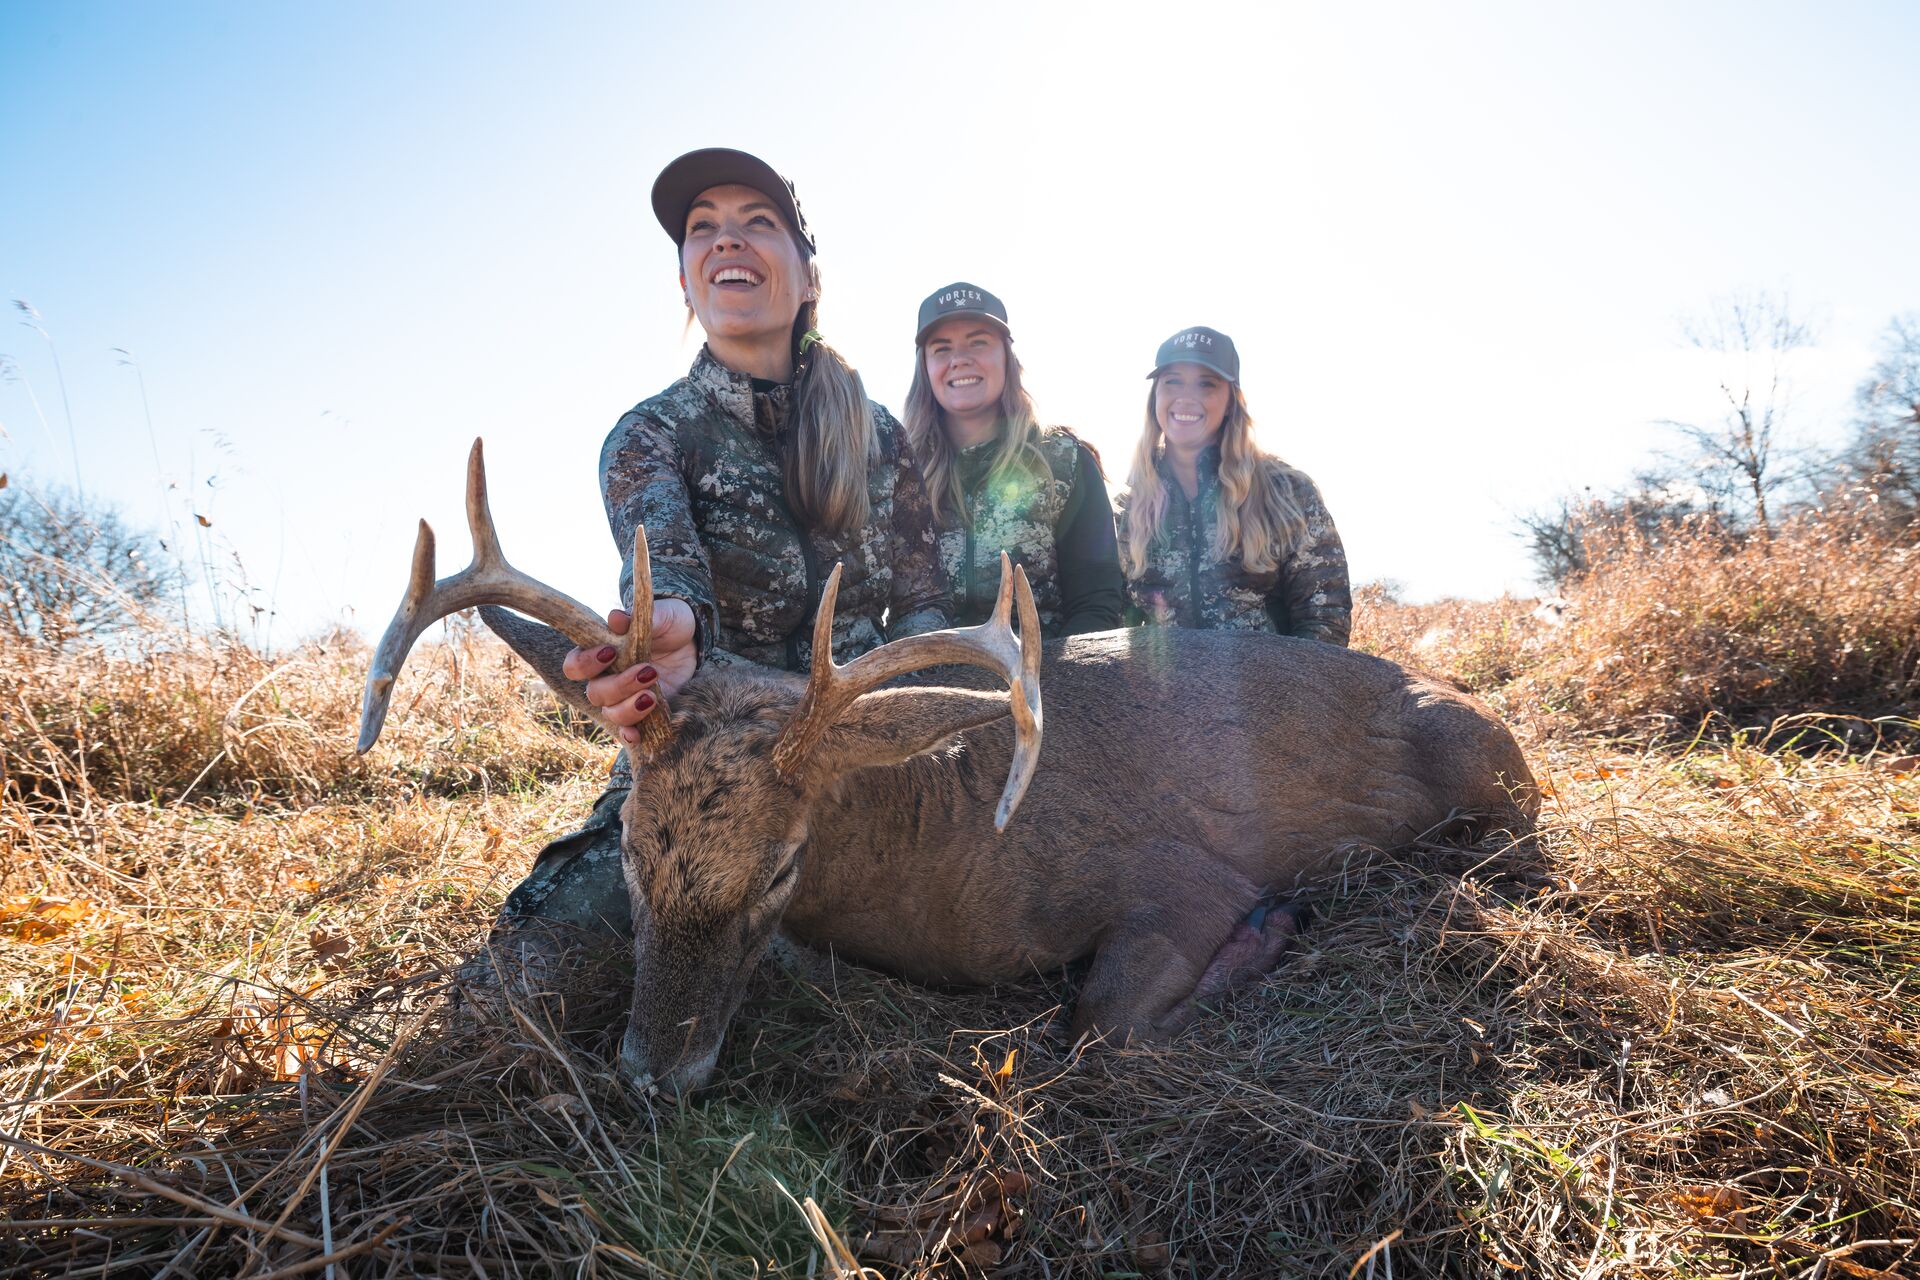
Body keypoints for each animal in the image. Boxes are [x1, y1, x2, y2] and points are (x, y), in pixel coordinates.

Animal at [360, 440, 1538, 1095]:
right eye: (636, 854)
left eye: (783, 865)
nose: (656, 1074)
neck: (948, 834)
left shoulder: (1186, 872)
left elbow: (1100, 1030)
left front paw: (1271, 929)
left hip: (1483, 764)